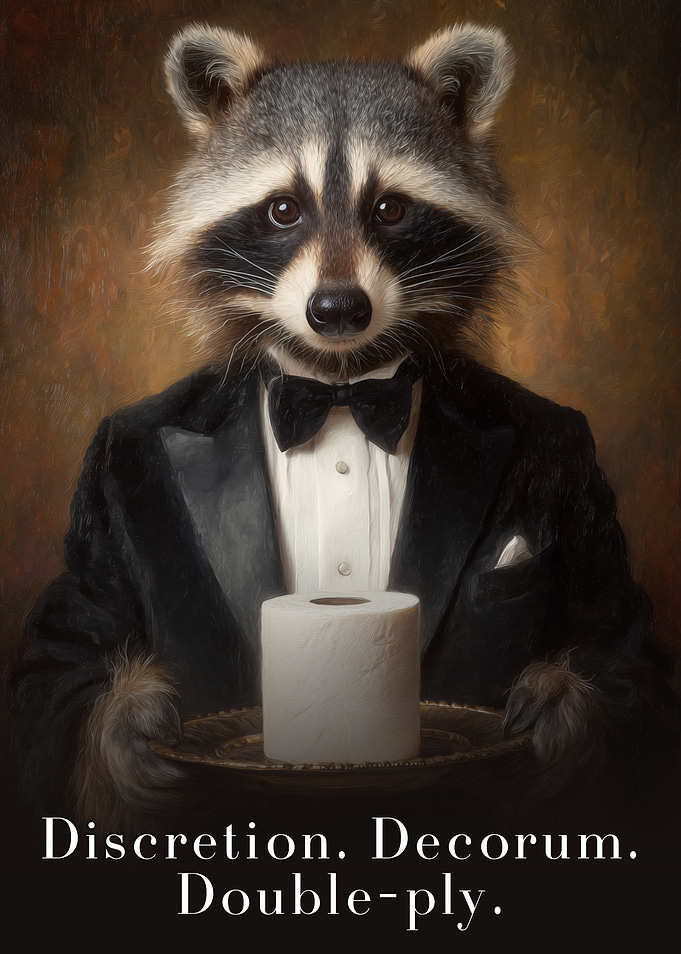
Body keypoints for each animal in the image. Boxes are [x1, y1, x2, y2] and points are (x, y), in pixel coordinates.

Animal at [8, 22, 676, 832]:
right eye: (282, 209)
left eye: (388, 209)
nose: (336, 309)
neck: (337, 387)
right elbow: (63, 652)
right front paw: (129, 726)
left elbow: (620, 650)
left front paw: (560, 709)